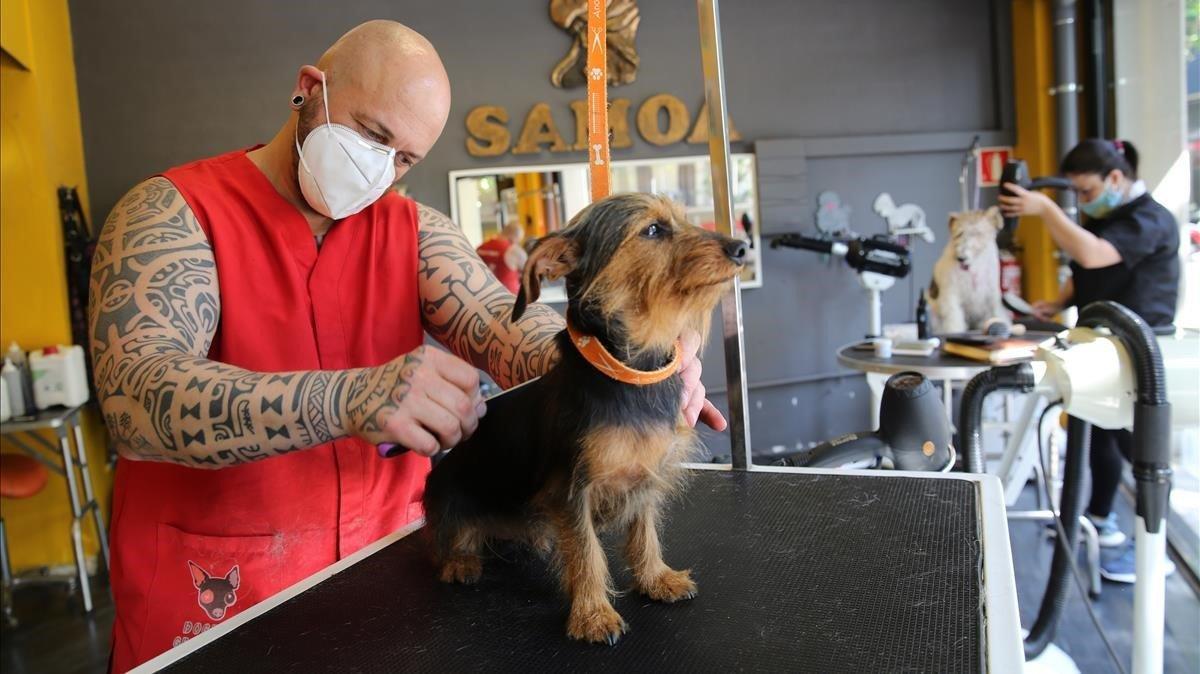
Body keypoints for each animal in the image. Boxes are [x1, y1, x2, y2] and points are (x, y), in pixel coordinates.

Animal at [420, 191, 739, 642]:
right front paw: (592, 615)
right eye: (653, 229)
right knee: (450, 536)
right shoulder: (570, 490)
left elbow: (645, 533)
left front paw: (656, 577)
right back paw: (460, 560)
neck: (630, 372)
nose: (741, 247)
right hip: (450, 493)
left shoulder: (644, 475)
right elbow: (586, 551)